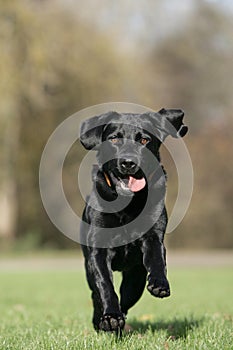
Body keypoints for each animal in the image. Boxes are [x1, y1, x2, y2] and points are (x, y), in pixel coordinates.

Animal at [79, 108, 187, 334]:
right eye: (114, 138)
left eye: (144, 140)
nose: (129, 163)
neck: (127, 204)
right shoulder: (98, 251)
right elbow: (104, 285)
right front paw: (110, 317)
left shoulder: (153, 237)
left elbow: (156, 259)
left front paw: (159, 283)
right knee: (96, 293)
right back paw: (103, 320)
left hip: (134, 281)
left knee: (126, 300)